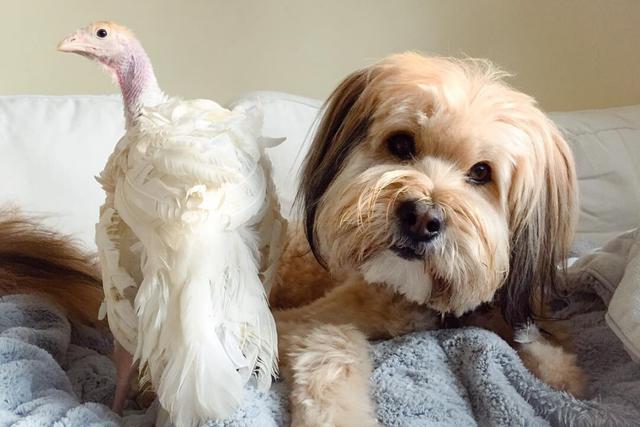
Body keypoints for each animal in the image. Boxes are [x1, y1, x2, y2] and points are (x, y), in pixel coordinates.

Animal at [272, 54, 584, 427]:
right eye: (401, 144)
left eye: (481, 172)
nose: (421, 218)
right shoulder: (295, 323)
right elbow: (334, 342)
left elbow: (555, 366)